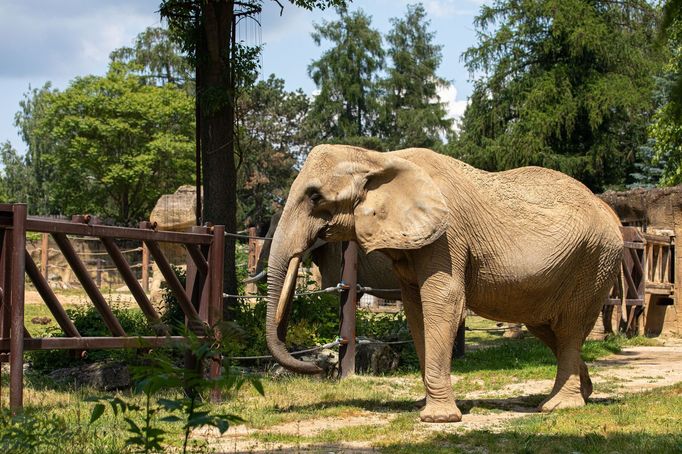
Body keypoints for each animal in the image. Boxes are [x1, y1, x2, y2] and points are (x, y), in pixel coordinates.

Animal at [266, 145, 620, 422]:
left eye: (315, 196)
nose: (319, 369)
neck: (377, 157)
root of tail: (611, 213)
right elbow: (415, 309)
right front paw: (425, 407)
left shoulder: (447, 237)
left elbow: (442, 300)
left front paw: (438, 418)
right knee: (548, 327)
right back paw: (584, 393)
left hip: (594, 260)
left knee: (569, 327)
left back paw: (560, 406)